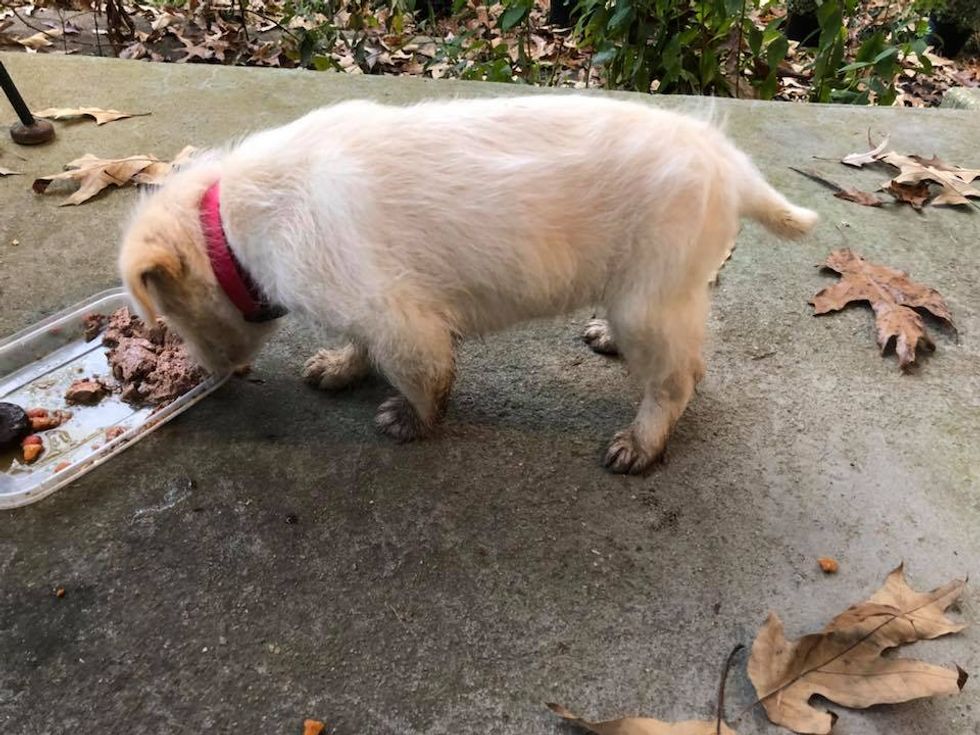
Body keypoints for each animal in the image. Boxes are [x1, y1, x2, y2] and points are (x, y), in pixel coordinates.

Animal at [119, 95, 817, 474]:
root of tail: (727, 161)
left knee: (676, 380)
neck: (227, 225)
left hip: (647, 300)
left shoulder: (400, 319)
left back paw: (641, 442)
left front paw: (412, 420)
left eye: (171, 319)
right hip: (655, 296)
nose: (210, 375)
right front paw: (342, 366)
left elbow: (423, 379)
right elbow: (359, 346)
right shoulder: (373, 312)